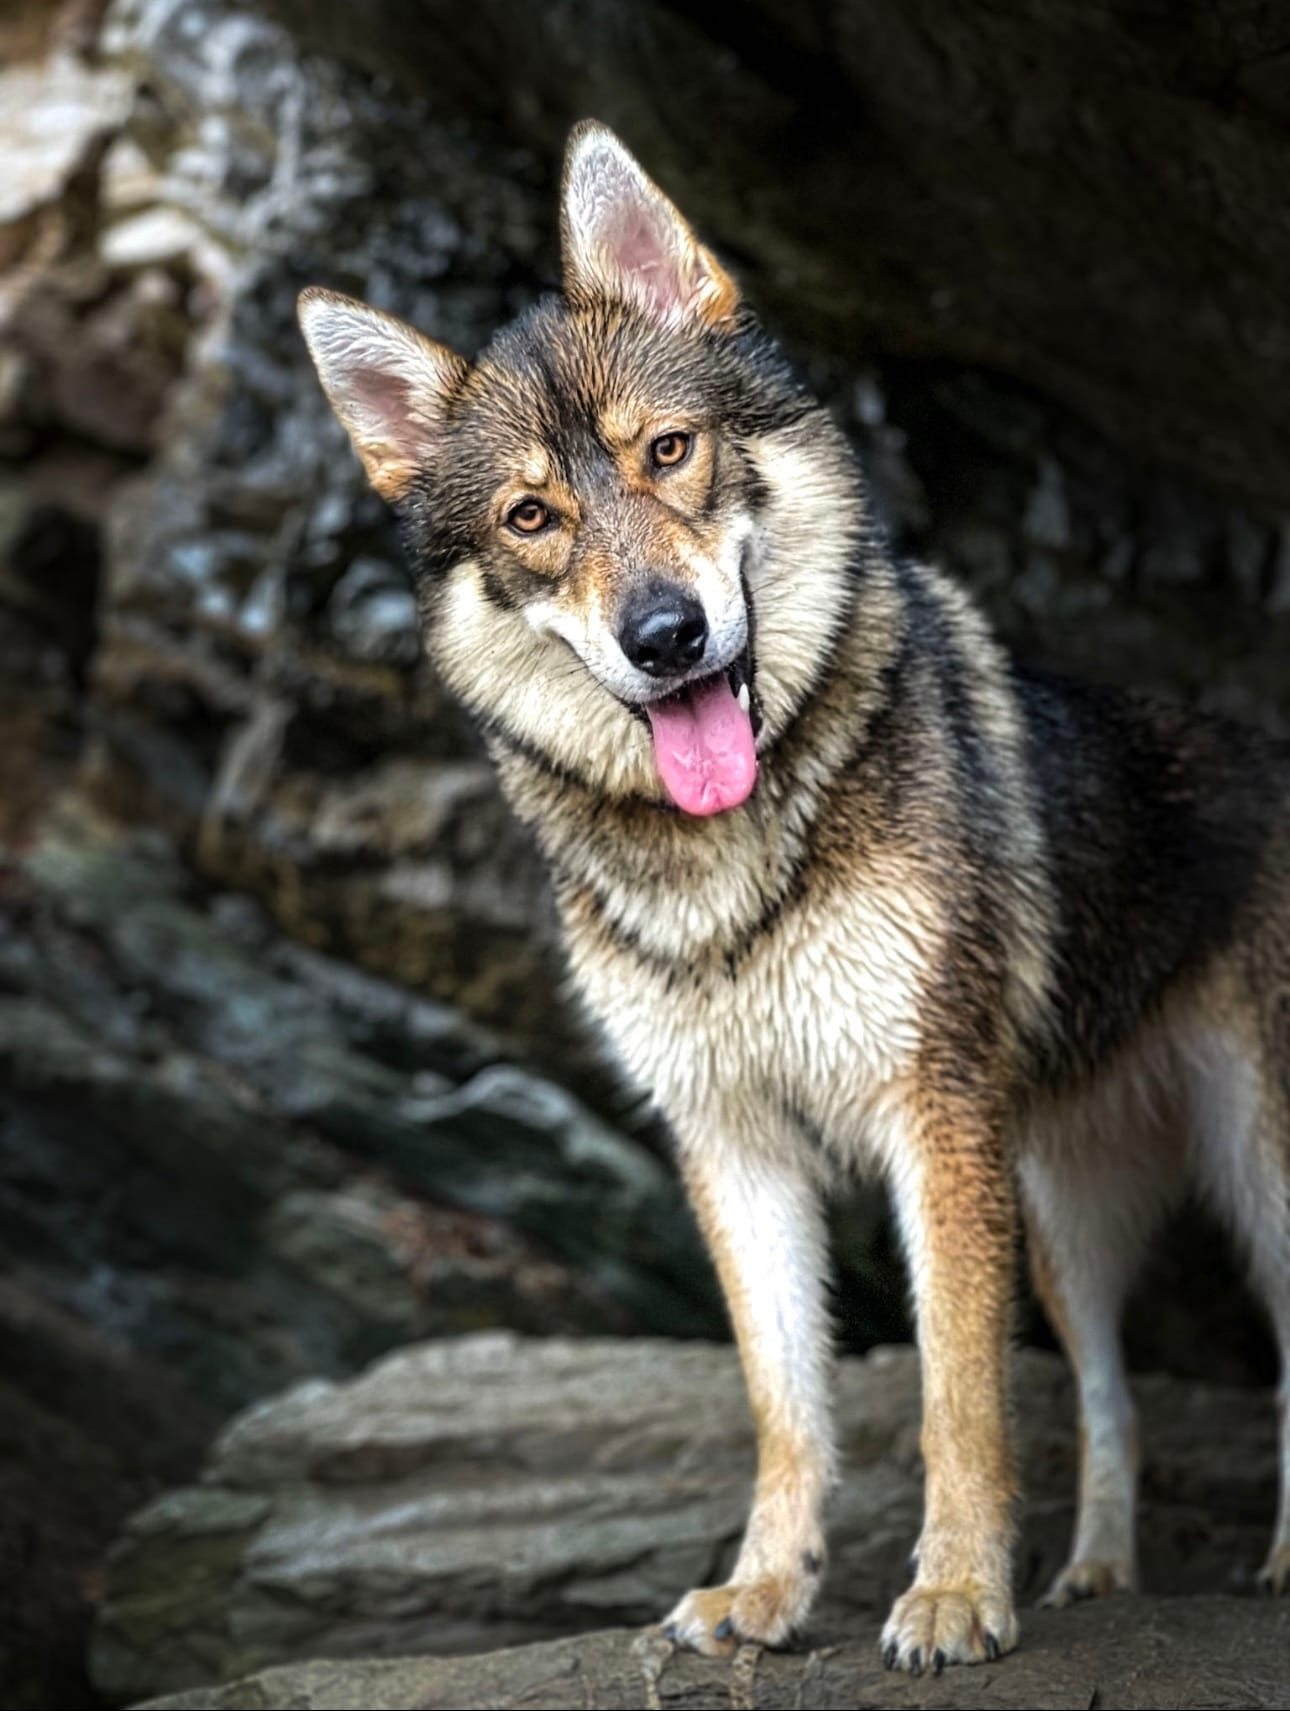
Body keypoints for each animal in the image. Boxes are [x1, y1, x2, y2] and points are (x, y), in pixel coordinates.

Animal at [295, 120, 1279, 1669]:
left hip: (1248, 1167)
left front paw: (953, 1594)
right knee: (1110, 1394)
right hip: (1066, 1216)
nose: (665, 634)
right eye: (534, 516)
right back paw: (1098, 1574)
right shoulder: (732, 1139)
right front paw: (764, 1592)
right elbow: (784, 1402)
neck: (729, 870)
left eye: (668, 450)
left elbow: (952, 1391)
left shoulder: (930, 1119)